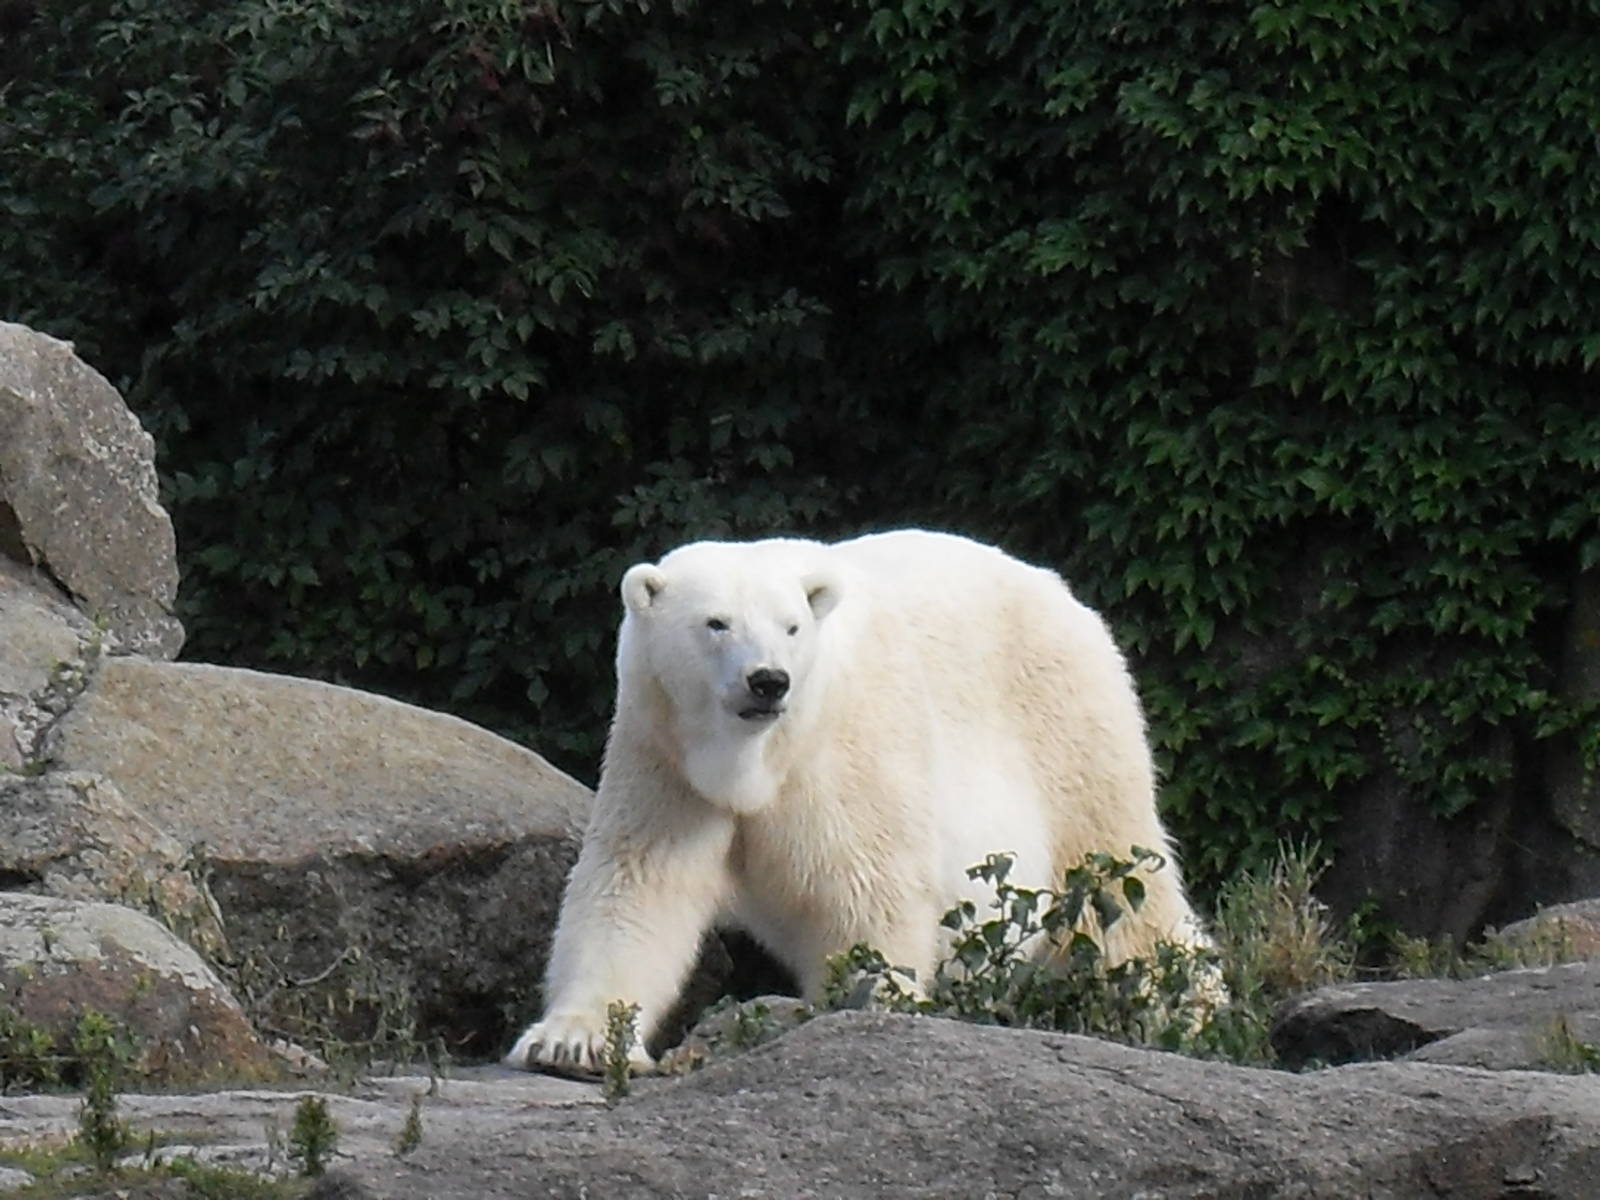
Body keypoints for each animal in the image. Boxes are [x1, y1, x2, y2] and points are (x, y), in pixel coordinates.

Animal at [505, 529, 1214, 1072]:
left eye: (791, 627)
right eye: (715, 623)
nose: (768, 681)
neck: (754, 756)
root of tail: (1066, 597)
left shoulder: (845, 753)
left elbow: (866, 886)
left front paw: (871, 1008)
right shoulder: (661, 756)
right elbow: (638, 884)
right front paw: (570, 1041)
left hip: (1070, 729)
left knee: (1118, 884)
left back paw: (1184, 1008)